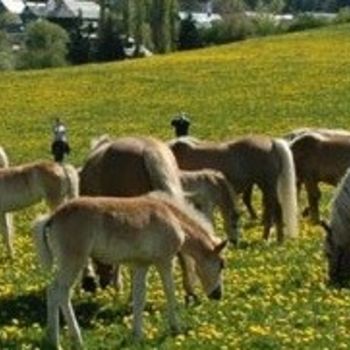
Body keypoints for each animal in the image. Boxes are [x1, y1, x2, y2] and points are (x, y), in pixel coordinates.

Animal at [33, 193, 227, 348]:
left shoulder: (141, 264)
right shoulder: (164, 261)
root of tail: (53, 216)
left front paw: (137, 335)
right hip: (73, 261)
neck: (171, 217)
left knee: (52, 292)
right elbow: (170, 293)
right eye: (221, 264)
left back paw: (53, 340)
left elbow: (140, 297)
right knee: (60, 291)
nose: (217, 295)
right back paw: (76, 339)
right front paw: (176, 328)